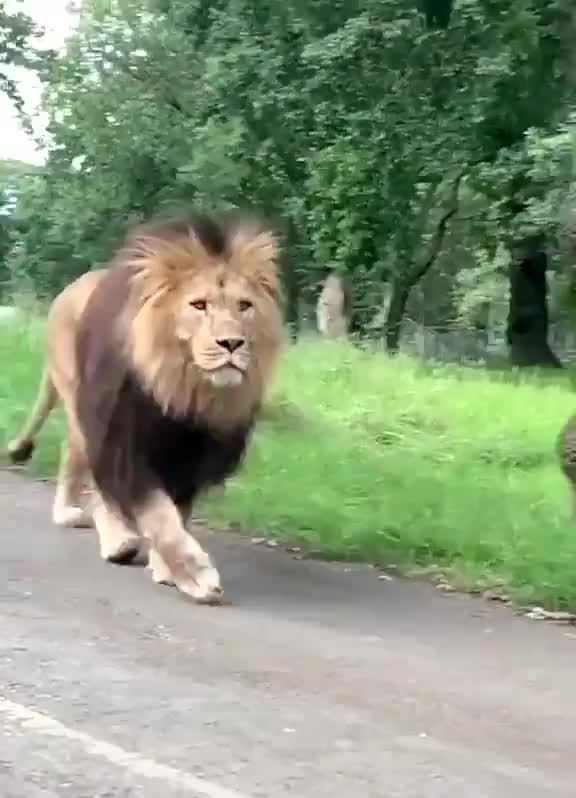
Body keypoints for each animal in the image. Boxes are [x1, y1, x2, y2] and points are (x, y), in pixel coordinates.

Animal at [6, 210, 283, 604]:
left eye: (244, 306)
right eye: (199, 305)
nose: (232, 343)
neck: (184, 388)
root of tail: (69, 289)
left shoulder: (190, 456)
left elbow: (177, 512)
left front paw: (167, 567)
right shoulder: (123, 441)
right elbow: (158, 516)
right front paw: (195, 575)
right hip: (83, 407)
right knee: (82, 468)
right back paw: (106, 536)